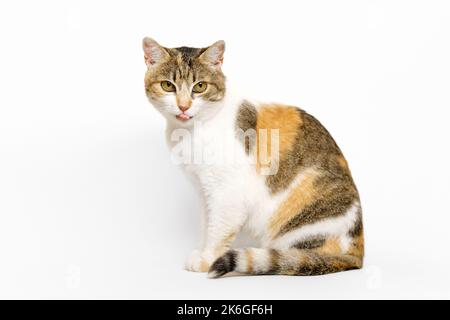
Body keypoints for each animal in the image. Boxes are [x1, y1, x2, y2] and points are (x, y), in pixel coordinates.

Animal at [142, 37, 364, 278]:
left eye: (200, 87)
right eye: (167, 85)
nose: (184, 106)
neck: (190, 132)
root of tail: (357, 255)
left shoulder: (227, 193)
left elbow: (218, 230)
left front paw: (207, 259)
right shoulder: (203, 189)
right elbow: (206, 224)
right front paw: (202, 251)